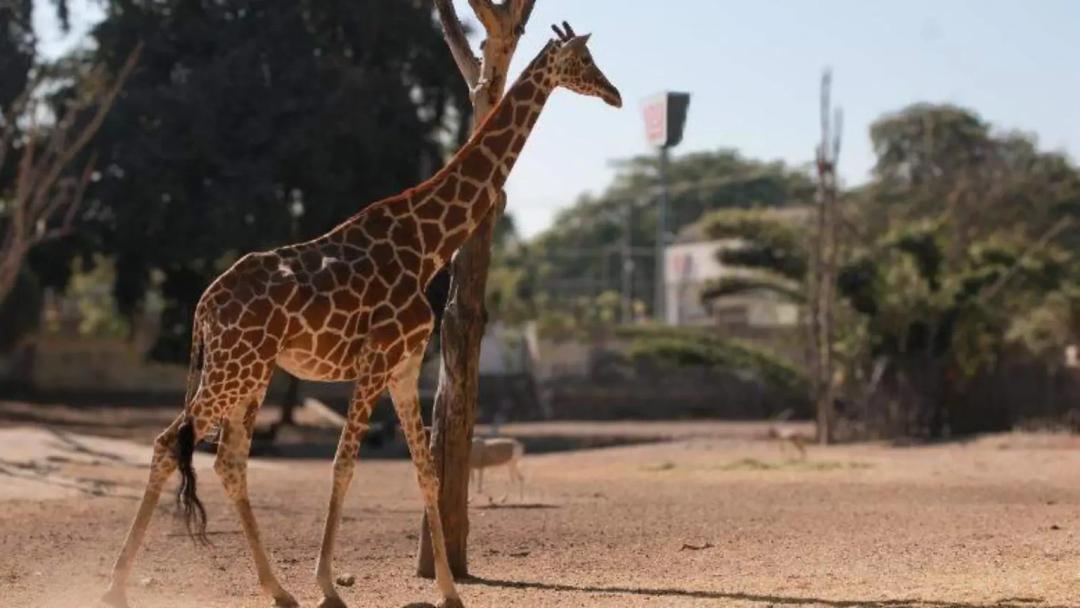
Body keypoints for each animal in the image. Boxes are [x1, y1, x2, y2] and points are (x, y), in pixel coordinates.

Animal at [101, 22, 620, 608]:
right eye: (583, 59)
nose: (614, 94)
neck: (429, 244)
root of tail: (204, 306)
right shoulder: (376, 360)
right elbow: (344, 465)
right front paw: (329, 585)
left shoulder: (404, 366)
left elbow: (427, 472)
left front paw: (449, 590)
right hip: (233, 370)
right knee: (170, 443)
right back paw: (116, 586)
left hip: (252, 374)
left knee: (228, 462)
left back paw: (278, 589)